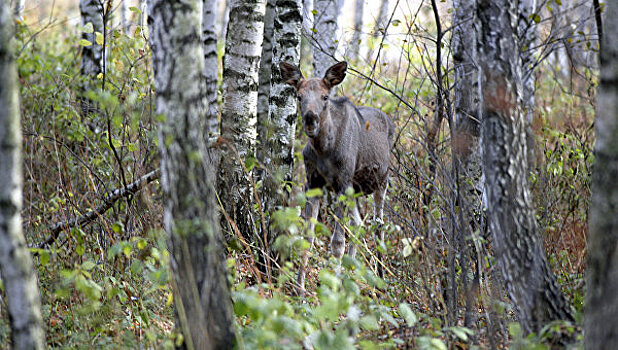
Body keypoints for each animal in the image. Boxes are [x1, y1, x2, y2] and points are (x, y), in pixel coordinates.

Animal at [280, 60, 394, 290]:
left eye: (325, 96)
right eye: (299, 96)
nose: (310, 119)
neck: (325, 150)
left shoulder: (342, 183)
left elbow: (337, 242)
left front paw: (330, 287)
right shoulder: (313, 183)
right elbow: (308, 237)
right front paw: (299, 288)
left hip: (382, 181)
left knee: (378, 225)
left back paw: (379, 277)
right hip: (355, 190)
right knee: (359, 223)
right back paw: (348, 274)